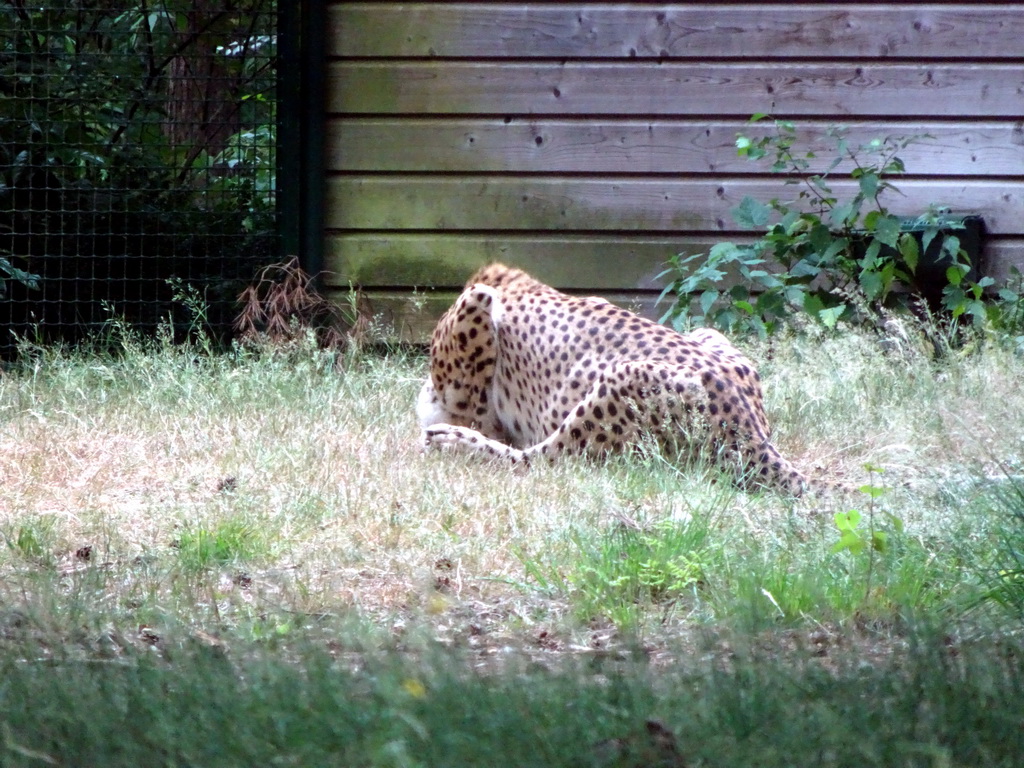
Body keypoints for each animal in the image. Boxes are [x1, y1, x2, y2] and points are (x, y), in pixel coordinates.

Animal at [419, 264, 811, 493]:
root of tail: (754, 432)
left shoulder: (477, 302)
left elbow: (472, 411)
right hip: (709, 334)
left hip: (624, 377)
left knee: (539, 460)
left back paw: (453, 442)